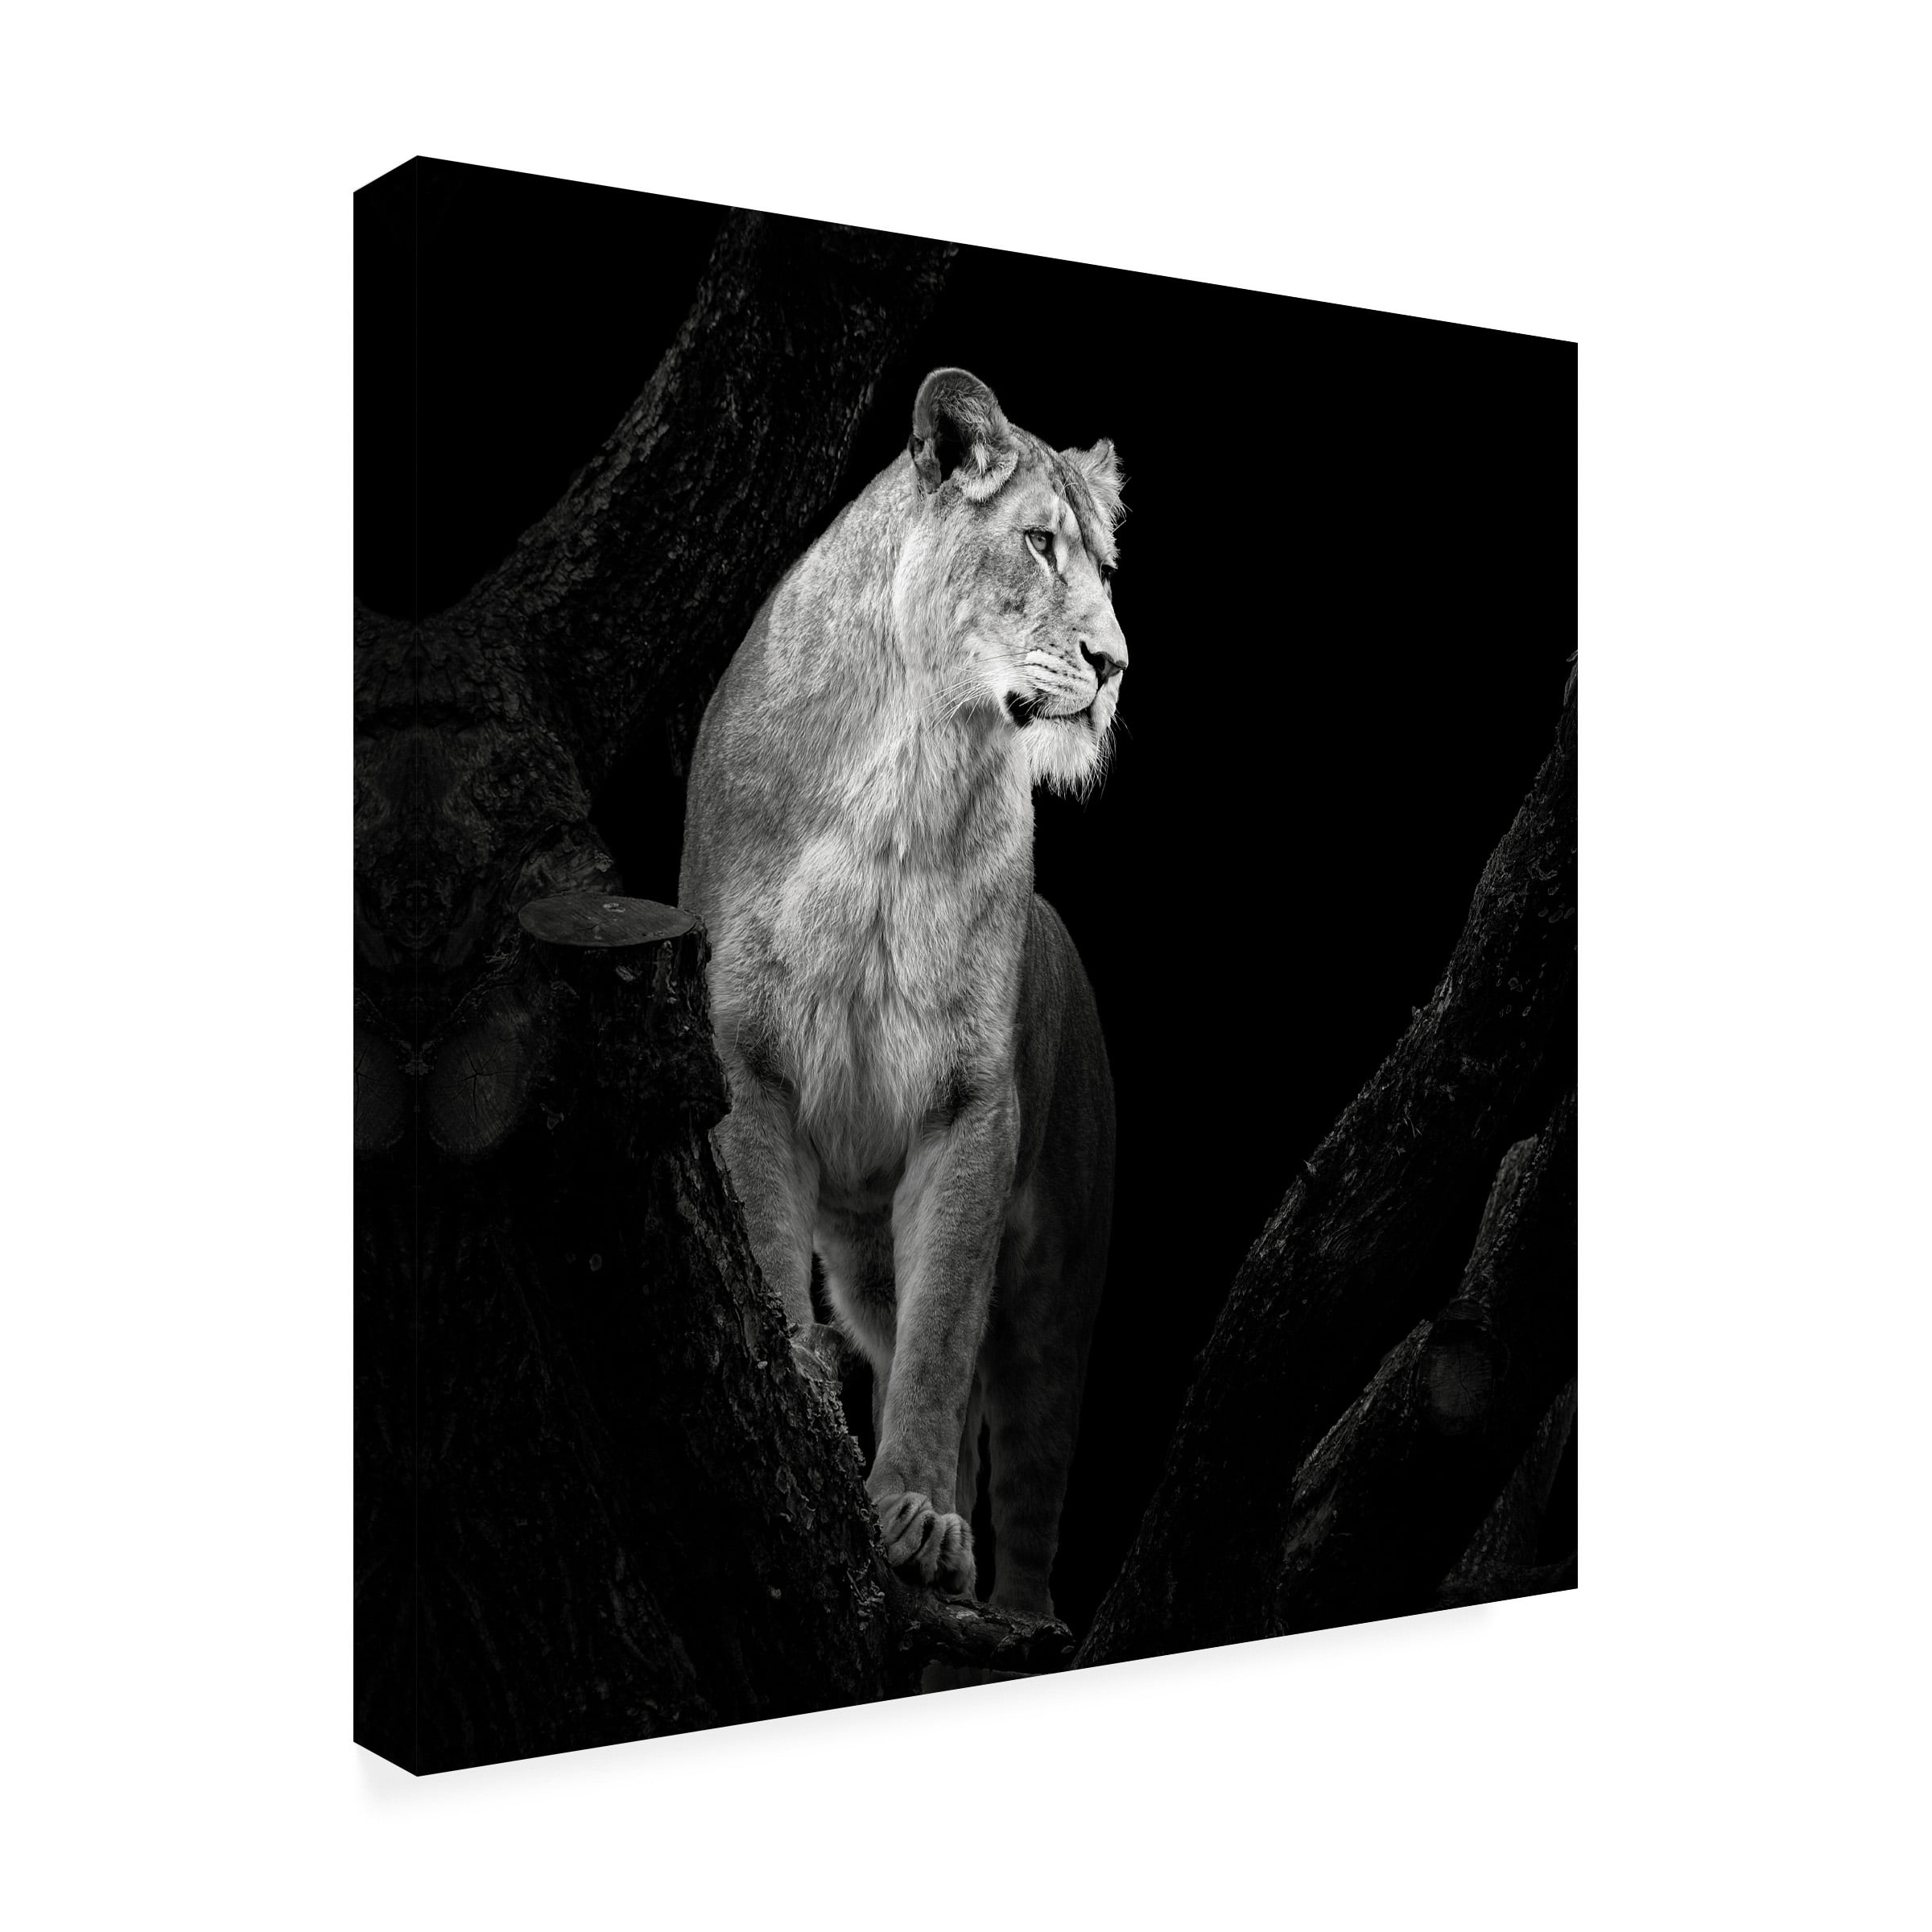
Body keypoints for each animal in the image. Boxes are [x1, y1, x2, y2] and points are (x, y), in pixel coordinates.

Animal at [678, 367, 1124, 1619]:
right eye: (1038, 543)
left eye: (1109, 568)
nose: (1116, 664)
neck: (915, 759)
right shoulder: (746, 1056)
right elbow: (768, 1250)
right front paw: (805, 1404)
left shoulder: (970, 1101)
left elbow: (940, 1342)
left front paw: (917, 1516)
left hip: (1063, 1278)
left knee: (1029, 1458)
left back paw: (1011, 1615)